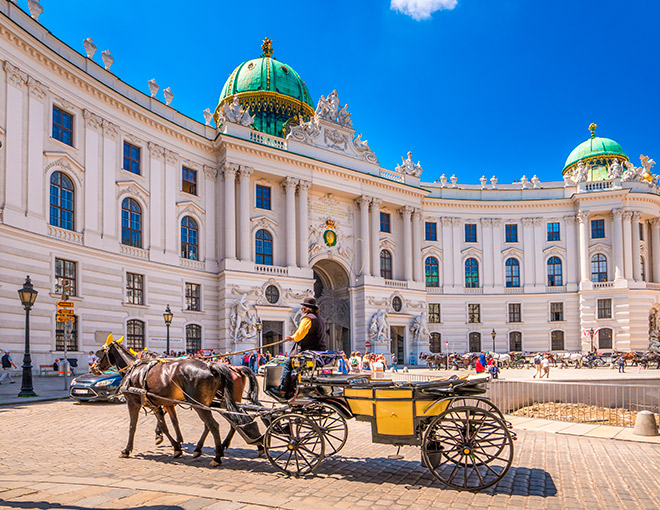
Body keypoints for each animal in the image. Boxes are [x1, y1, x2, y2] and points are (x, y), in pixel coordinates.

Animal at [95, 338, 253, 466]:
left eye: (100, 352)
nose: (93, 367)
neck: (136, 371)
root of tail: (211, 366)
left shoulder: (133, 402)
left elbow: (133, 426)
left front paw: (127, 450)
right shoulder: (161, 404)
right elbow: (169, 424)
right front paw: (176, 445)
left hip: (202, 404)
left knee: (214, 425)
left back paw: (217, 456)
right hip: (213, 403)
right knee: (223, 422)